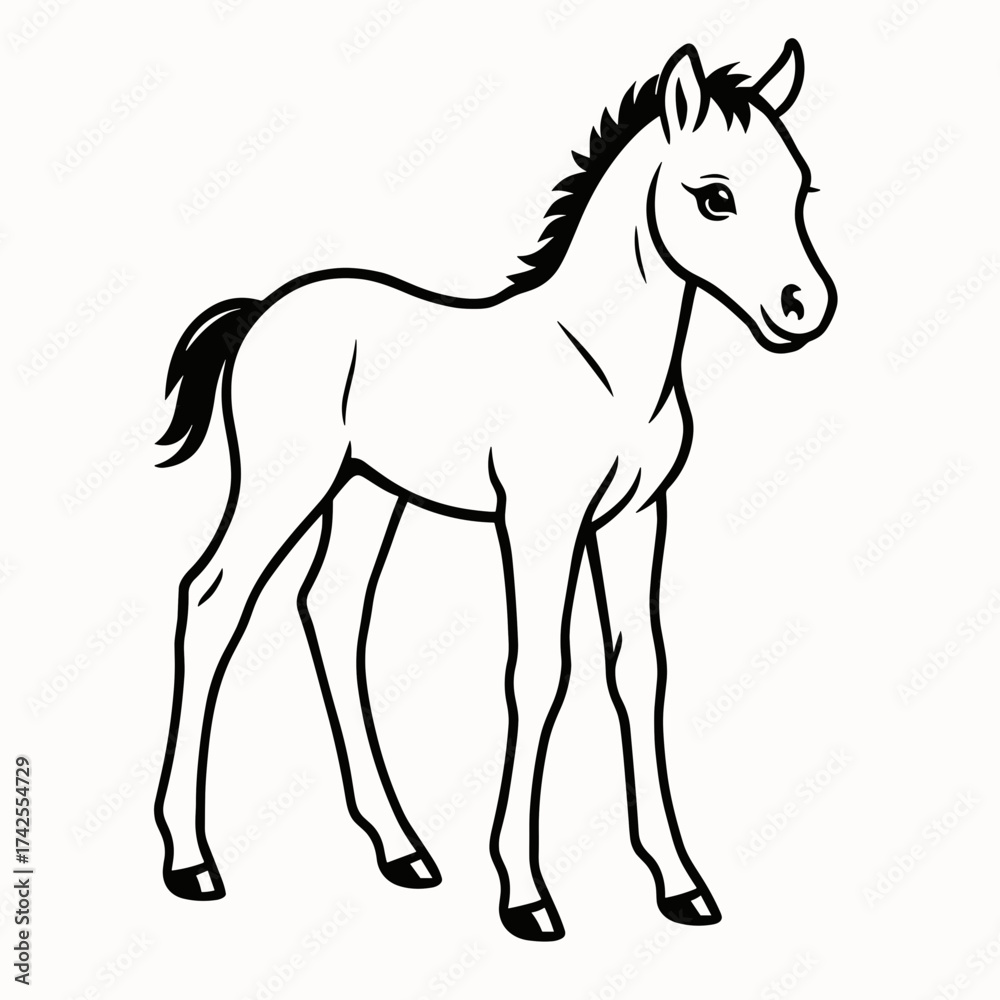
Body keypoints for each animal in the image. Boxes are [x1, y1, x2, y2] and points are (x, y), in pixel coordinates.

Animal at [153, 40, 837, 942]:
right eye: (716, 196)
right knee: (213, 600)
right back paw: (191, 861)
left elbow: (639, 671)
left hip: (369, 491)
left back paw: (402, 848)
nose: (804, 310)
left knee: (332, 615)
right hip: (285, 481)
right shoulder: (541, 523)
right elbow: (538, 674)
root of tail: (265, 308)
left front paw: (680, 883)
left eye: (802, 190)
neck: (605, 363)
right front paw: (526, 894)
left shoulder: (635, 518)